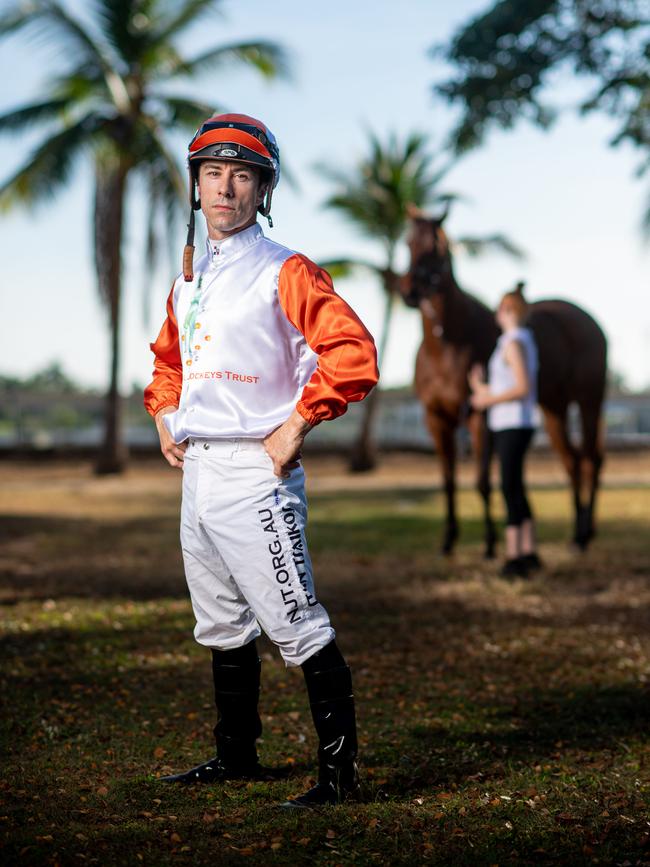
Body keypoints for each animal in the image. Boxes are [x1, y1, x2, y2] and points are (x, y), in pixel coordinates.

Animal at [402, 214, 604, 560]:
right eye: (409, 242)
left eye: (439, 245)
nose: (411, 291)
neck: (445, 345)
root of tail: (590, 321)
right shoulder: (436, 419)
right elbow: (448, 480)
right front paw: (448, 541)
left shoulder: (479, 416)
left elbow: (482, 481)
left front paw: (489, 544)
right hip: (555, 408)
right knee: (573, 461)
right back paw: (579, 533)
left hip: (589, 401)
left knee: (590, 459)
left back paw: (583, 537)